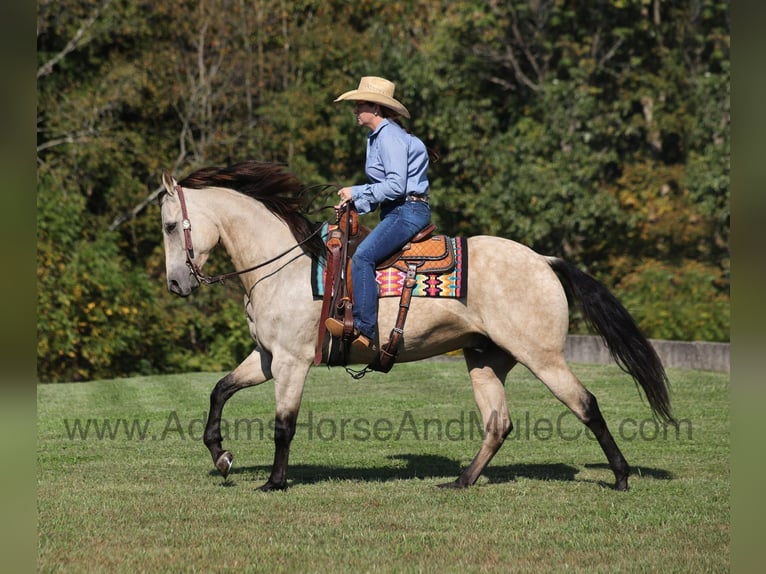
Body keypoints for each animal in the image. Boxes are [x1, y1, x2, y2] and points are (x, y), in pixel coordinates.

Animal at [159, 160, 674, 492]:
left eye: (167, 225)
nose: (175, 283)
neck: (287, 270)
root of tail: (544, 260)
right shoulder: (267, 358)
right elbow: (220, 391)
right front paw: (222, 456)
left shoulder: (292, 363)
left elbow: (284, 425)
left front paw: (274, 481)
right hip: (486, 359)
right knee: (498, 423)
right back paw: (461, 481)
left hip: (542, 357)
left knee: (585, 404)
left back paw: (621, 476)